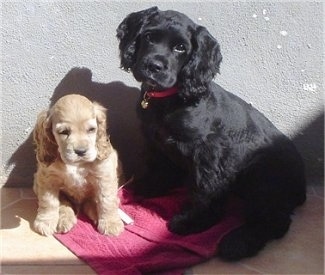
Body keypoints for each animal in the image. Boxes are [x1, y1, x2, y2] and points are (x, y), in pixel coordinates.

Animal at [33, 94, 123, 237]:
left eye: (91, 130)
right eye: (64, 132)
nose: (80, 151)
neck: (76, 164)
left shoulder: (105, 175)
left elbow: (107, 200)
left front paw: (111, 223)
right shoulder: (47, 177)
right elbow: (48, 201)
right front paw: (45, 222)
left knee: (92, 201)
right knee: (64, 202)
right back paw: (64, 219)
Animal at [116, 6, 306, 260]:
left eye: (181, 48)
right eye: (149, 37)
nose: (154, 66)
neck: (171, 99)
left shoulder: (209, 152)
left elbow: (206, 189)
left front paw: (193, 222)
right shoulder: (156, 141)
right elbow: (161, 168)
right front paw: (148, 187)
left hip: (263, 175)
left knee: (275, 220)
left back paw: (237, 243)